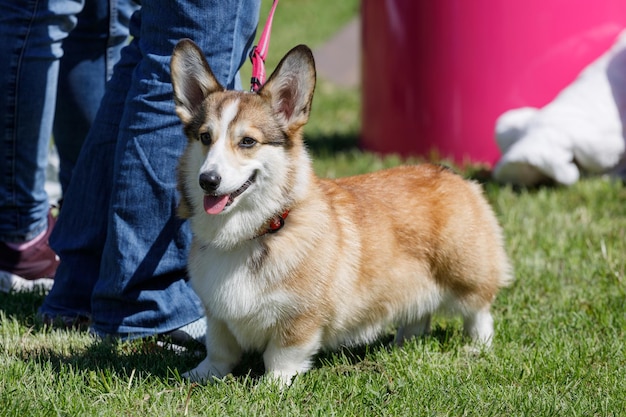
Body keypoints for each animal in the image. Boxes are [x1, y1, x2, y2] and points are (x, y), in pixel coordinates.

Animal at [168, 38, 510, 384]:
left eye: (248, 141)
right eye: (205, 137)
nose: (207, 180)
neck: (255, 233)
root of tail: (452, 174)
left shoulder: (299, 318)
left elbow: (281, 355)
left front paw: (271, 386)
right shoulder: (217, 314)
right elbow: (219, 349)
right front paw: (200, 375)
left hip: (465, 273)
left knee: (479, 311)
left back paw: (477, 347)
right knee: (418, 313)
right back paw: (403, 343)